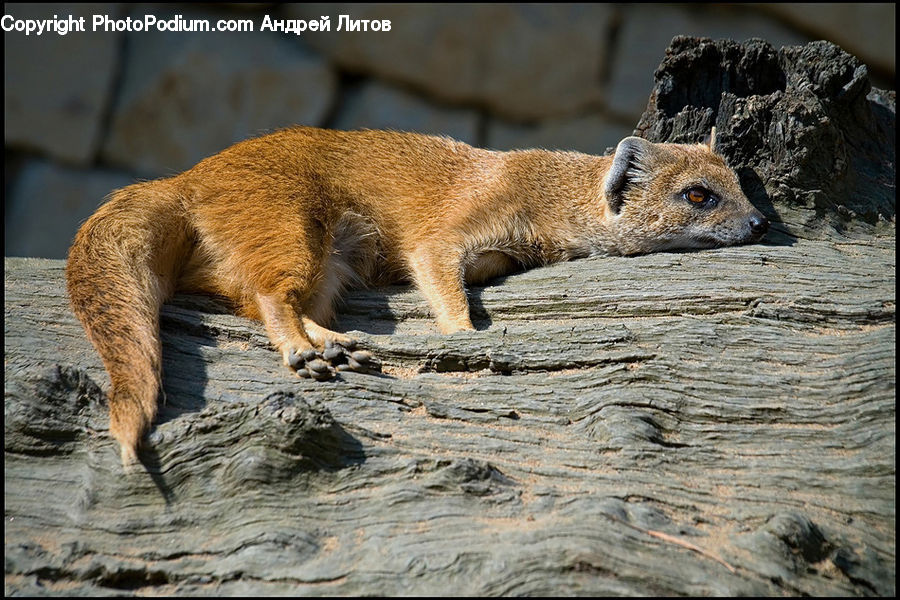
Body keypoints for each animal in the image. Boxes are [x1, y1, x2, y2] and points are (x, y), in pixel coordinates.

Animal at [66, 126, 769, 466]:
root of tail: (187, 178)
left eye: (740, 182)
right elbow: (434, 267)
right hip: (287, 223)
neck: (547, 200)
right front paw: (465, 334)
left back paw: (339, 345)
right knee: (266, 291)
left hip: (329, 262)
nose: (761, 223)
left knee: (287, 300)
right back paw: (304, 353)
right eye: (698, 194)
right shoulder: (456, 224)